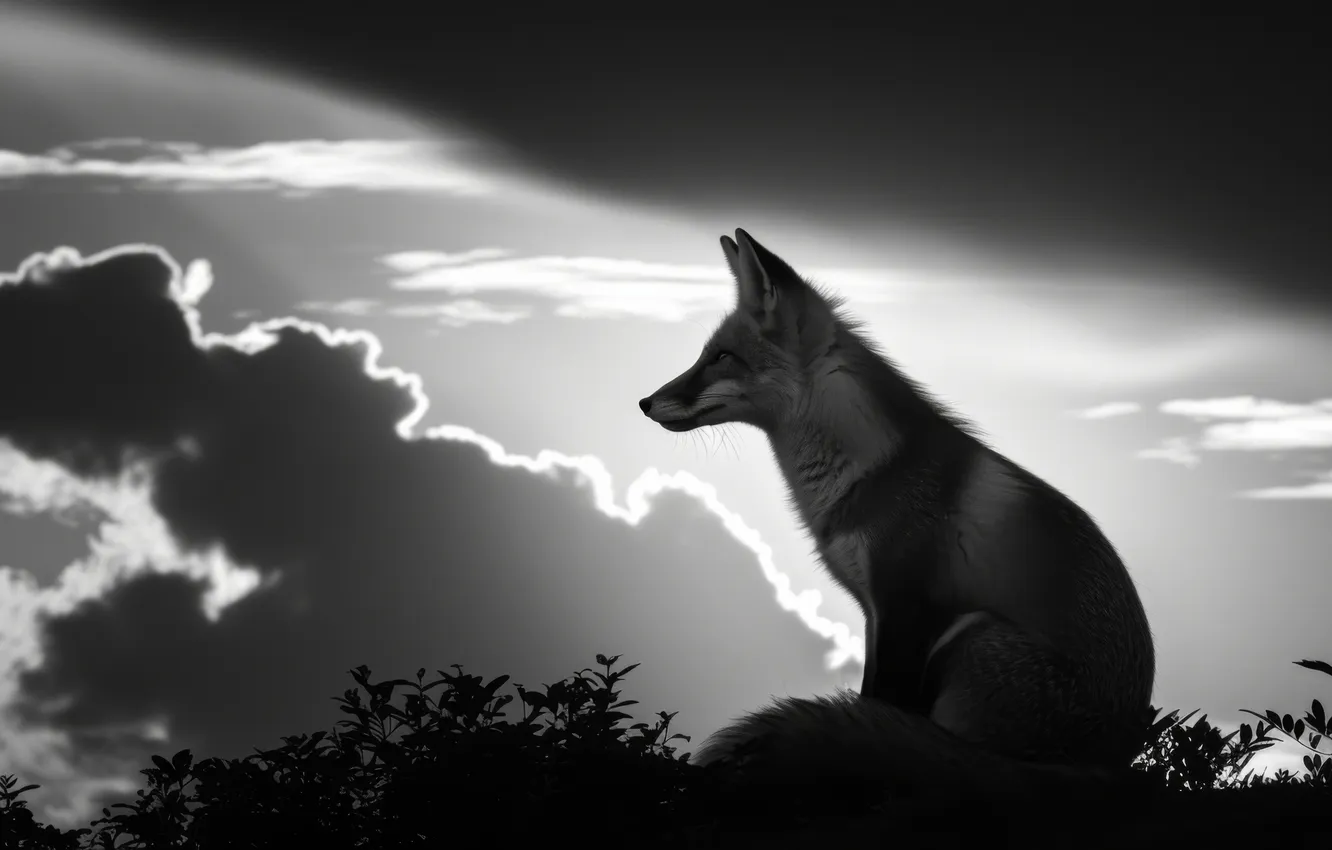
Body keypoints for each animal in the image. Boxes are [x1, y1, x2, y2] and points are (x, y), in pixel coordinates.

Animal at [638, 229, 1156, 800]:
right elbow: (870, 702)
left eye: (722, 357)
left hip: (970, 633)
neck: (870, 472)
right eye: (705, 355)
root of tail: (1107, 764)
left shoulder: (906, 609)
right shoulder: (873, 614)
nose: (644, 402)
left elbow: (876, 709)